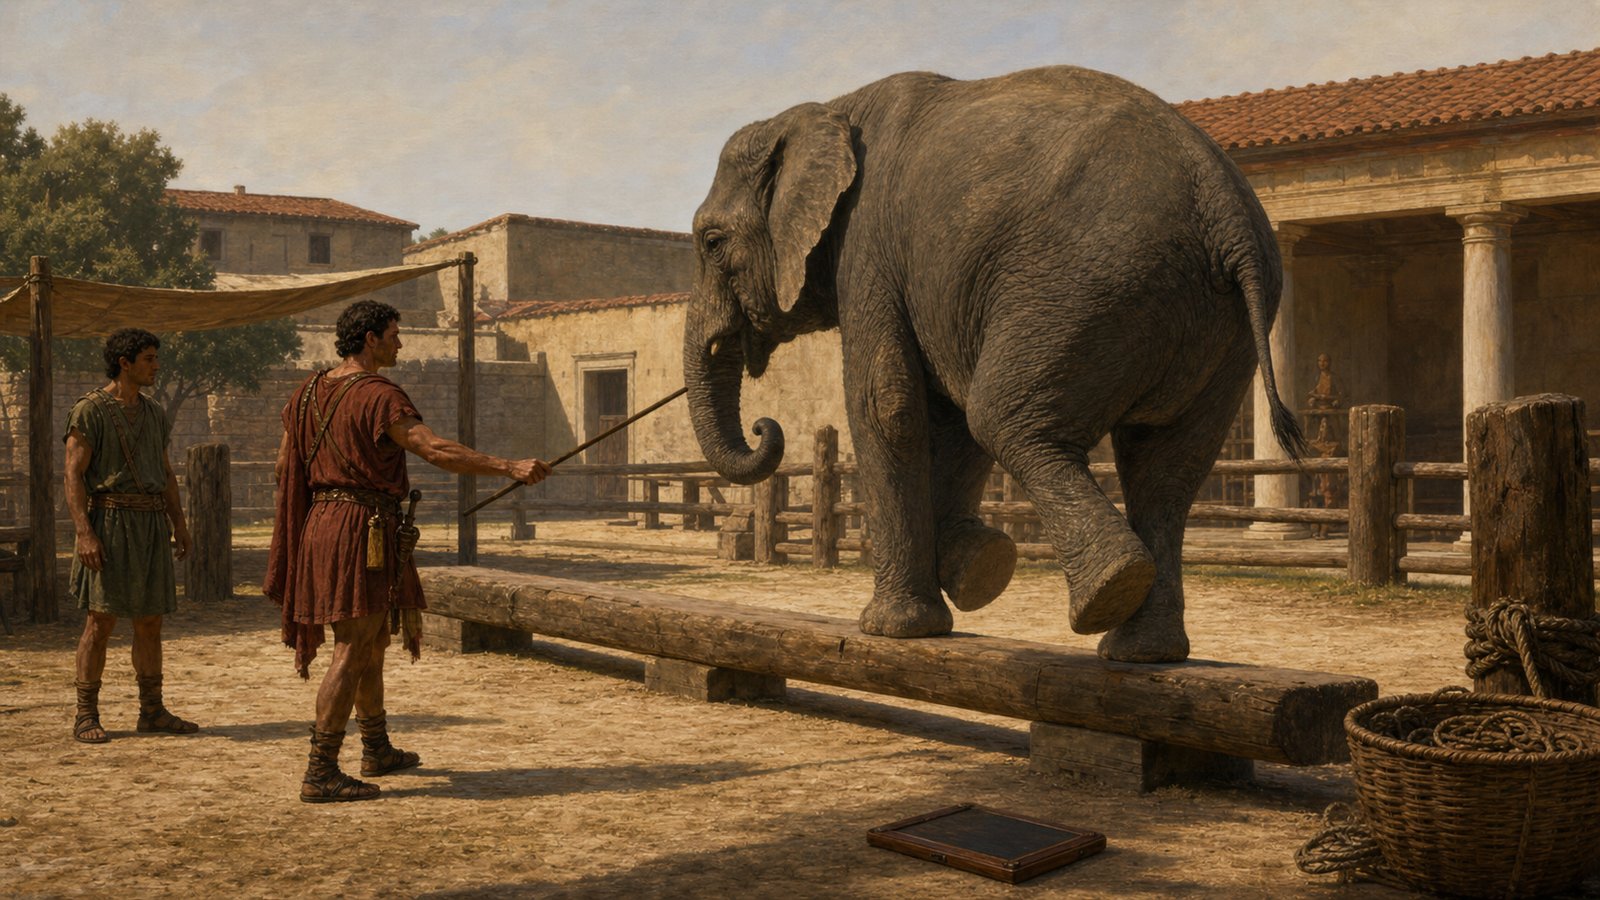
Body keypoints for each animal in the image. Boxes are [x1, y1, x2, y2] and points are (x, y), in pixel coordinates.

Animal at [682, 65, 1304, 663]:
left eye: (712, 242)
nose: (764, 426)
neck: (830, 107)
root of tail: (1227, 212)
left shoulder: (868, 248)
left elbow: (888, 405)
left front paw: (894, 628)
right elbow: (943, 412)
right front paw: (973, 565)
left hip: (1085, 290)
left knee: (1003, 418)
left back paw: (1110, 591)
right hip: (1212, 327)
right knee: (1165, 465)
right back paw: (1143, 652)